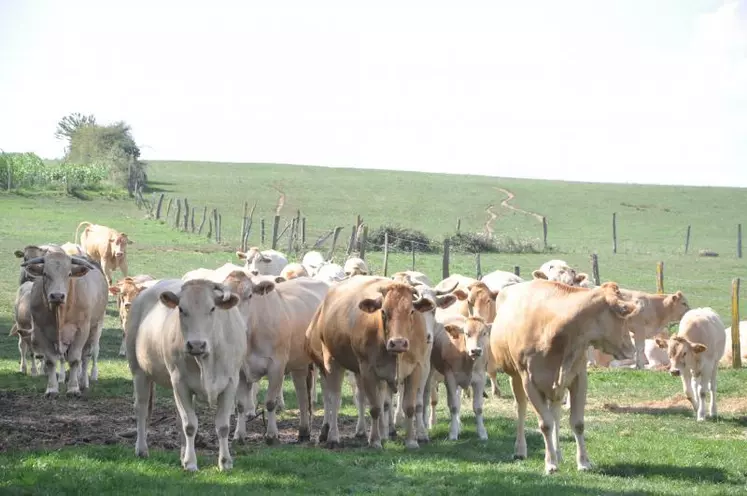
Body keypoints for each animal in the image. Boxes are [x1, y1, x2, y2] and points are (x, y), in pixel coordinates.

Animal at [20, 252, 109, 396]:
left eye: (69, 274)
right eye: (45, 273)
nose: (57, 296)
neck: (59, 314)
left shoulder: (81, 330)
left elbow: (75, 360)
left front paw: (73, 388)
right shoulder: (40, 330)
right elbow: (50, 361)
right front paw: (52, 389)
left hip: (95, 328)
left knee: (86, 356)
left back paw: (83, 382)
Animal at [126, 278, 245, 470]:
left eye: (212, 308)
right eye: (181, 309)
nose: (196, 344)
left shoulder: (230, 383)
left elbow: (223, 426)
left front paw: (225, 462)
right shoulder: (180, 382)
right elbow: (189, 424)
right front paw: (190, 463)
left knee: (177, 419)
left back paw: (181, 455)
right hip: (139, 370)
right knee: (142, 409)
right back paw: (142, 449)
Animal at [219, 274, 330, 444]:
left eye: (250, 295)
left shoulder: (276, 367)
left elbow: (271, 402)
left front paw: (271, 435)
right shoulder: (240, 370)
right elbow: (240, 404)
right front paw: (239, 435)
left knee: (327, 396)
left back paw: (324, 432)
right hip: (299, 363)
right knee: (302, 396)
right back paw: (303, 431)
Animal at [304, 278, 432, 452]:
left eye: (411, 311)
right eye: (383, 312)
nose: (398, 343)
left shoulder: (416, 368)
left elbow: (409, 407)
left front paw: (411, 441)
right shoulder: (368, 370)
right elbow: (375, 408)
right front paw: (375, 441)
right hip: (331, 362)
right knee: (334, 400)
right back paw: (333, 437)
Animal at [490, 280, 644, 474]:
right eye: (622, 314)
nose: (631, 349)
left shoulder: (578, 377)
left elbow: (577, 423)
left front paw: (583, 462)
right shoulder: (530, 382)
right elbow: (545, 424)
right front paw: (550, 464)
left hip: (555, 387)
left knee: (555, 412)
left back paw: (558, 453)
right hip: (515, 375)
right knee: (521, 408)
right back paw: (521, 450)